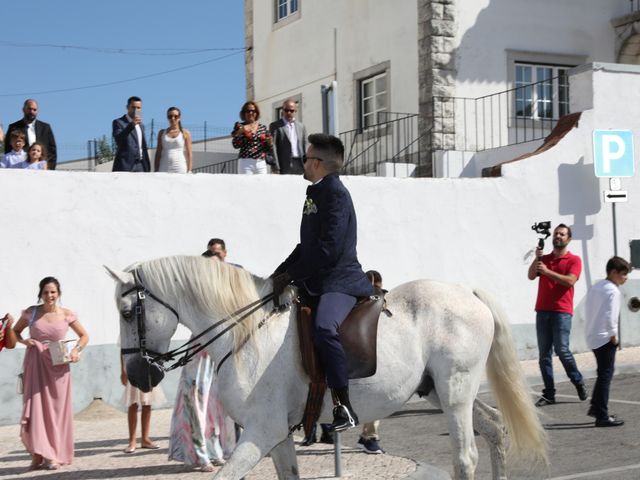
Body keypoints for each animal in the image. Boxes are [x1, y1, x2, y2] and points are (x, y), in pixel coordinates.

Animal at [107, 255, 548, 480]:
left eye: (128, 312)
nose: (138, 376)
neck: (246, 331)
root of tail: (466, 292)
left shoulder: (262, 431)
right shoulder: (277, 435)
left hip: (455, 393)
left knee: (466, 456)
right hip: (441, 391)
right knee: (494, 429)